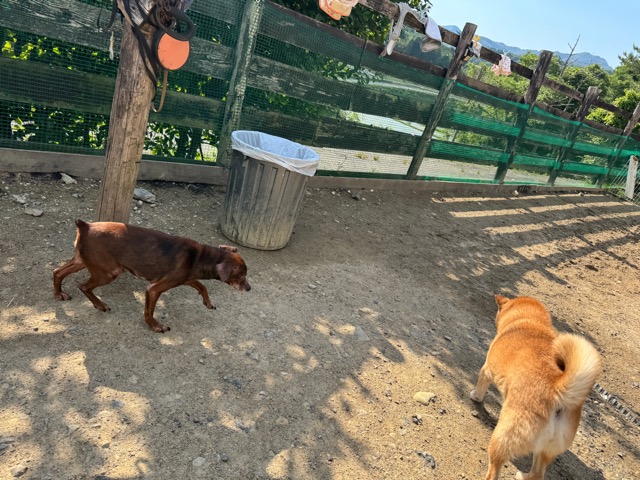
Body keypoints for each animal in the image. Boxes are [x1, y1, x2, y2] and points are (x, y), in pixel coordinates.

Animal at [53, 220, 251, 333]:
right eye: (241, 277)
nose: (249, 289)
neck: (199, 256)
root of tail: (85, 226)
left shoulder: (186, 278)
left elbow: (203, 286)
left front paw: (208, 302)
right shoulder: (154, 289)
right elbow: (149, 312)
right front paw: (156, 326)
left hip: (83, 261)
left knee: (57, 272)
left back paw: (59, 294)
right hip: (109, 272)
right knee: (83, 286)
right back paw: (99, 304)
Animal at [470, 295, 602, 480]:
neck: (529, 321)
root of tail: (557, 388)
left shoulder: (487, 369)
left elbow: (481, 387)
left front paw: (475, 396)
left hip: (502, 439)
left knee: (494, 471)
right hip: (545, 450)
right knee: (538, 474)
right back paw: (522, 476)